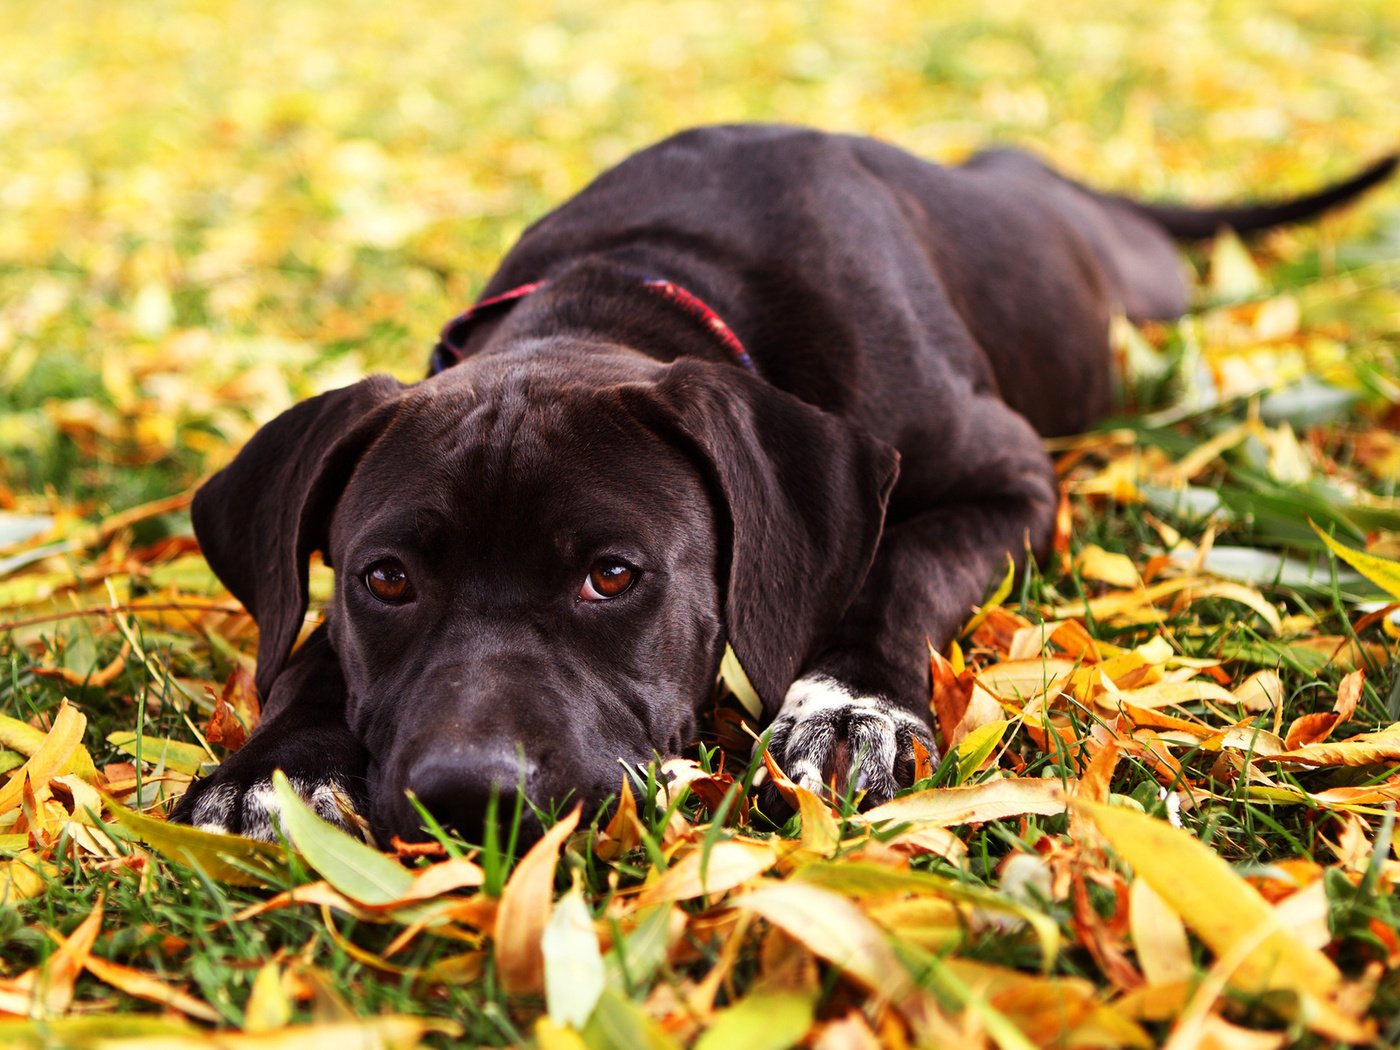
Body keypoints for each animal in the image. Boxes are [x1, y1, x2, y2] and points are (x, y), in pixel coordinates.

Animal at [172, 125, 1388, 845]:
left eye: (613, 575)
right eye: (384, 580)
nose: (472, 795)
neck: (634, 282)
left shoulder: (1007, 478)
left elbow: (895, 567)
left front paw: (846, 703)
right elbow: (309, 653)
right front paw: (268, 772)